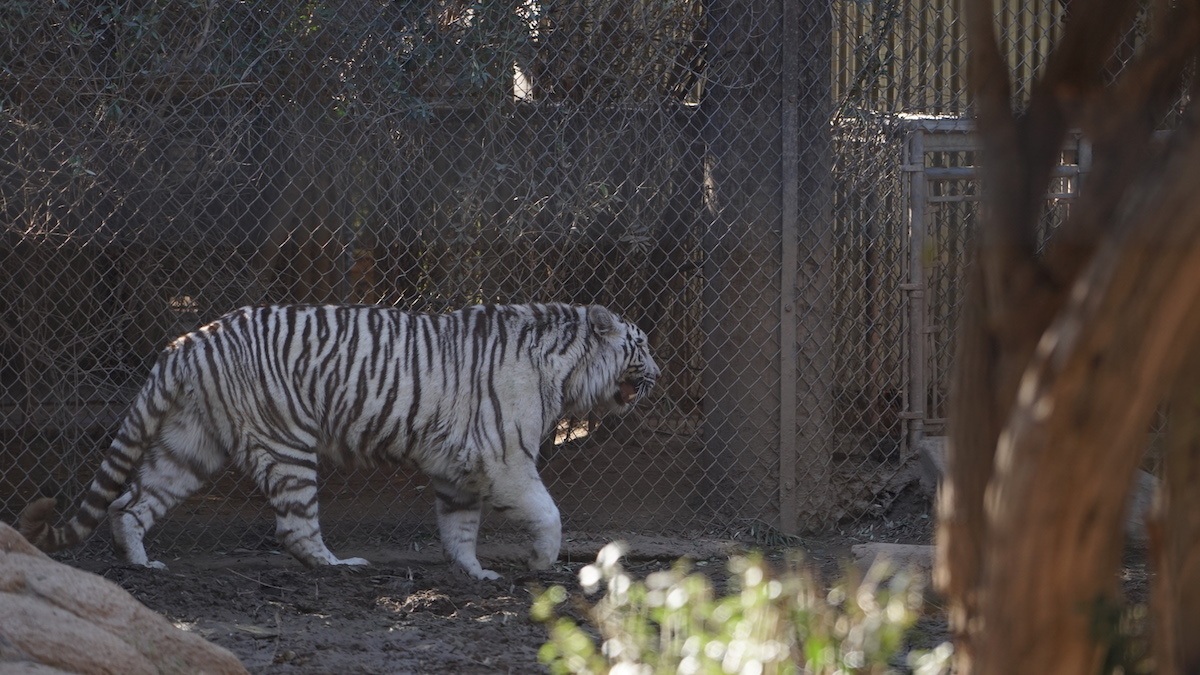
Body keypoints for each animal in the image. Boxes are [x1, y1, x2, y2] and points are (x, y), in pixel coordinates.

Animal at [16, 302, 657, 576]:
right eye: (642, 346)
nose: (659, 372)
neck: (566, 368)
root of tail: (190, 340)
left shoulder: (458, 470)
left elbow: (459, 528)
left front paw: (475, 573)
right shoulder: (505, 459)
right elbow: (548, 512)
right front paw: (542, 562)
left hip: (188, 446)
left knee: (129, 504)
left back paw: (143, 563)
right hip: (286, 444)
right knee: (296, 528)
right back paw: (340, 564)